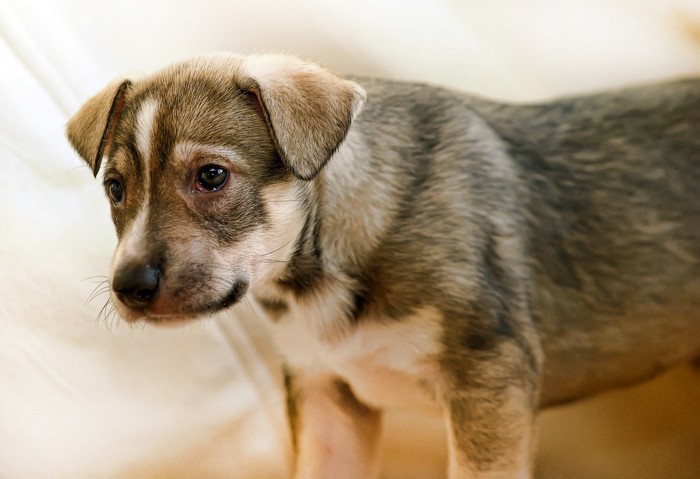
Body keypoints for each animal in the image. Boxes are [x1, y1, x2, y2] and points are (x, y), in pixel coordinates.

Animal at [67, 54, 700, 478]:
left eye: (212, 176)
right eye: (116, 189)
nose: (129, 288)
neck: (317, 272)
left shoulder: (489, 379)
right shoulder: (327, 397)